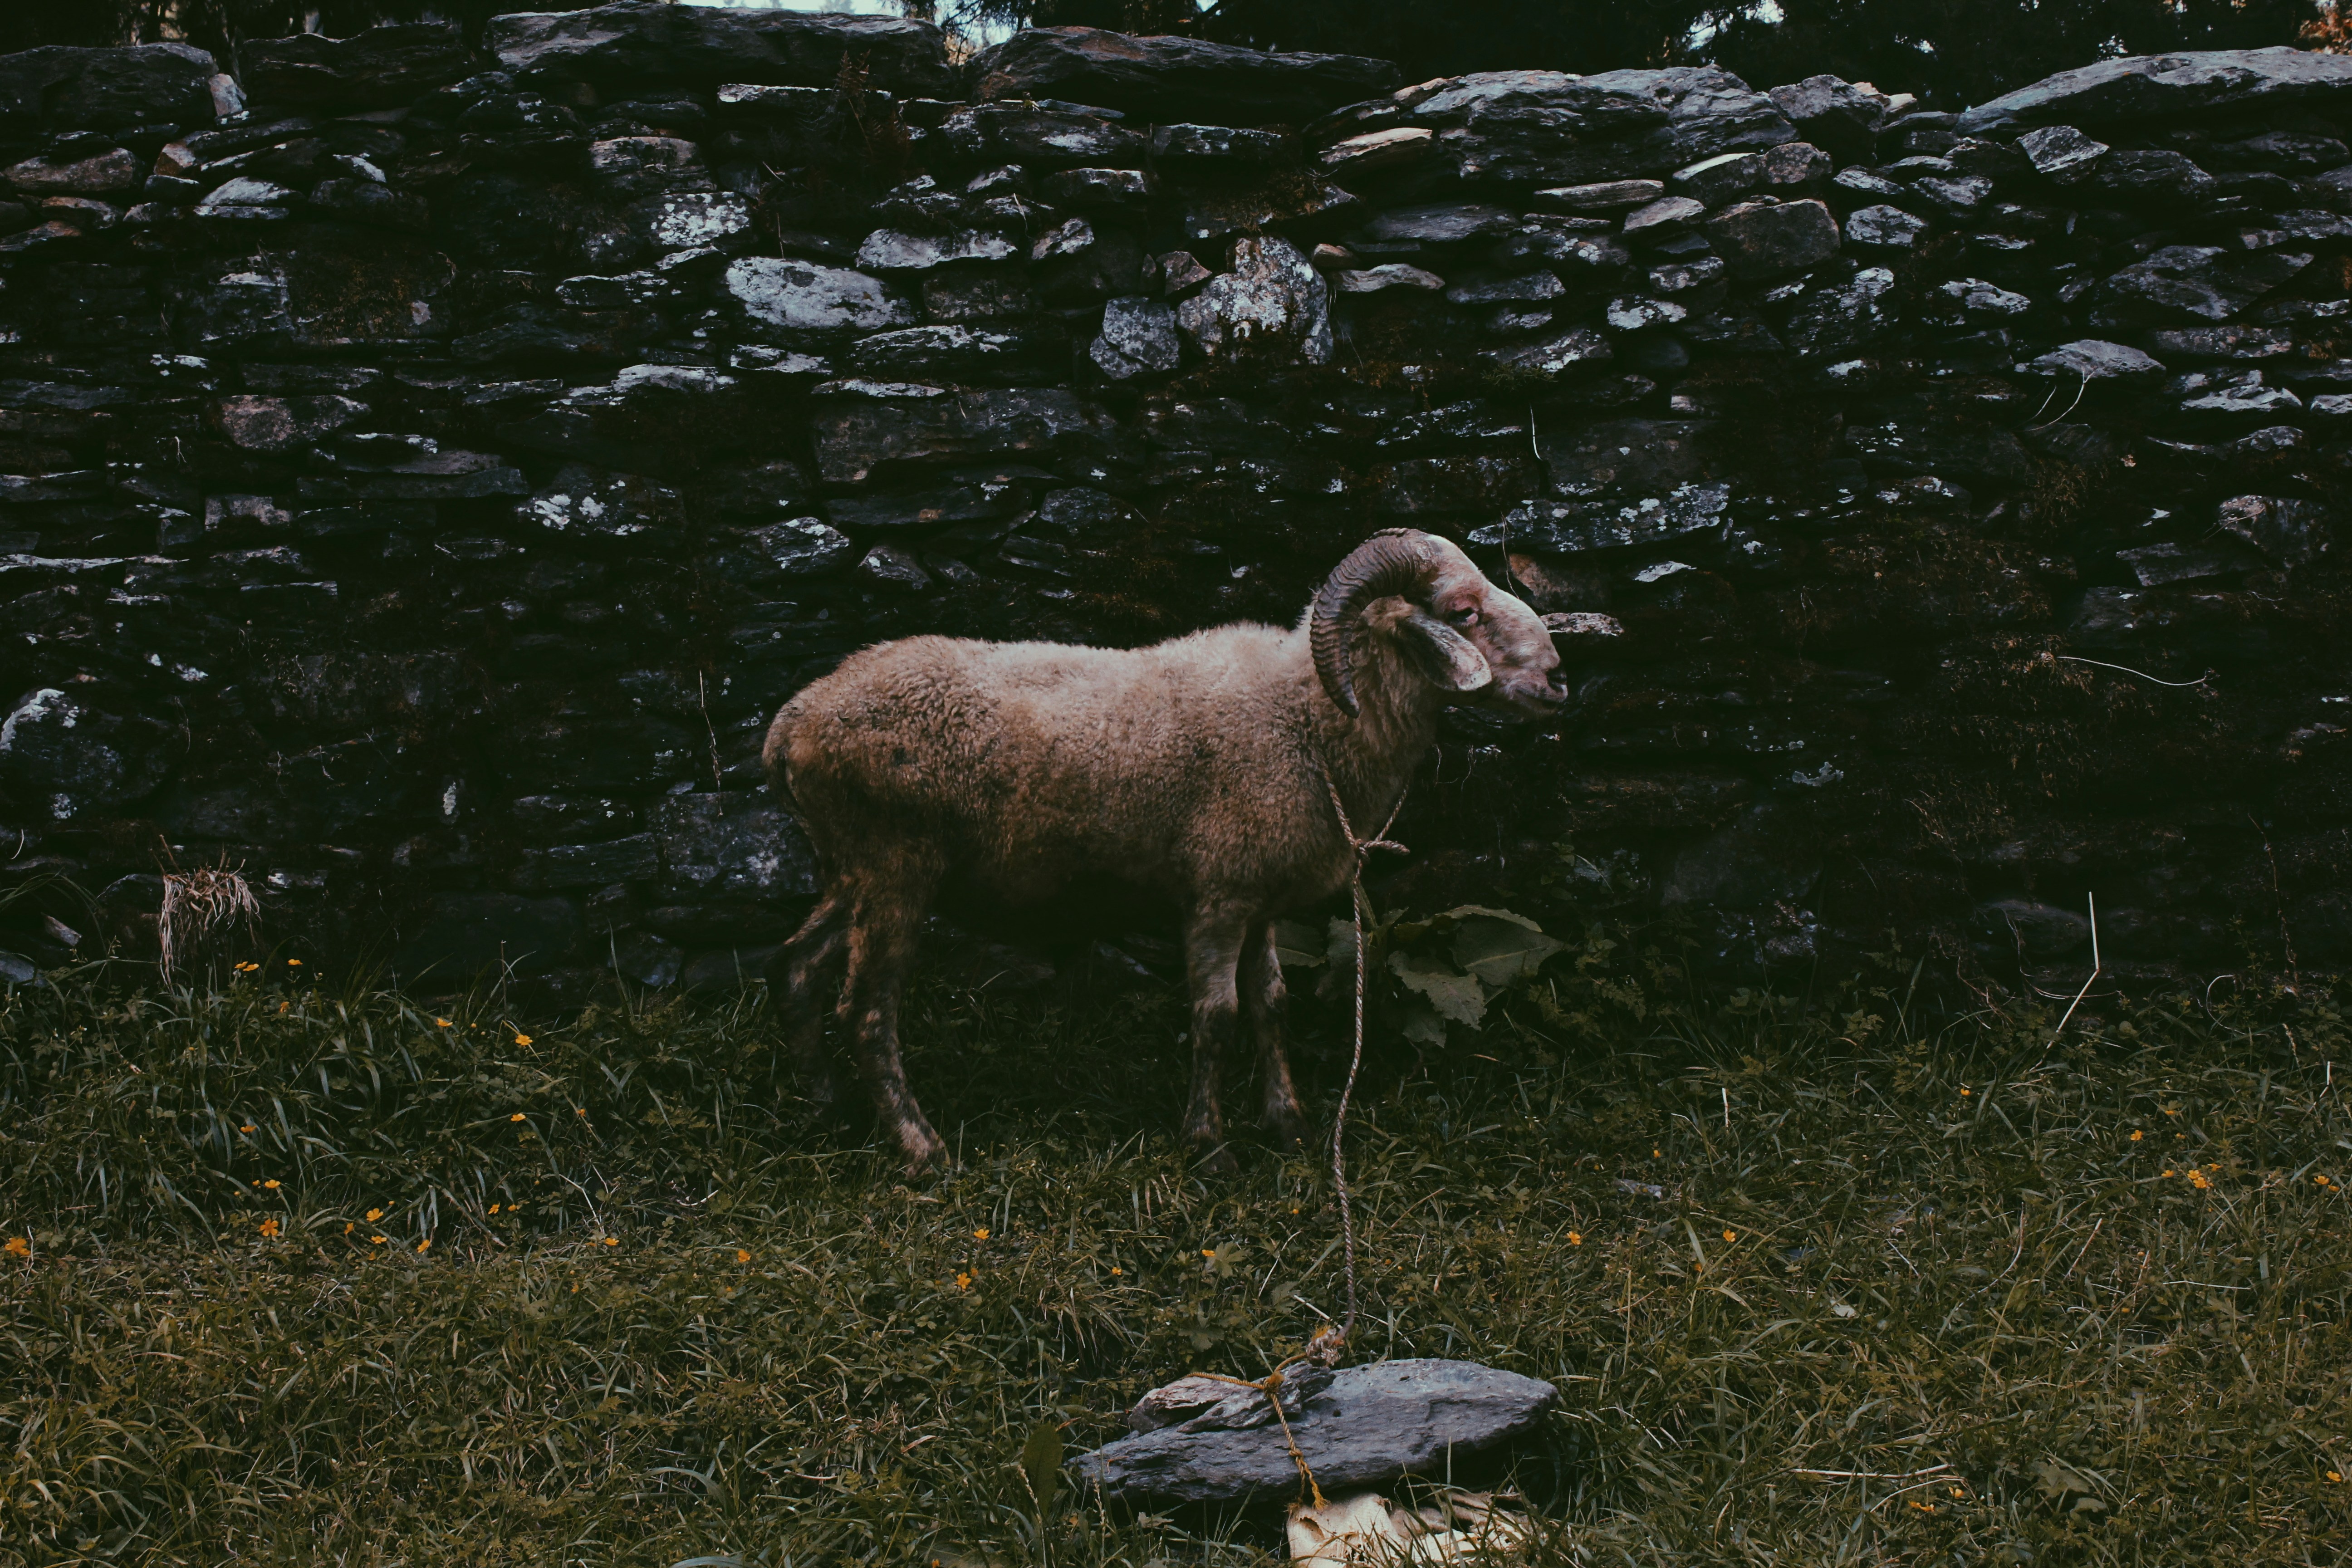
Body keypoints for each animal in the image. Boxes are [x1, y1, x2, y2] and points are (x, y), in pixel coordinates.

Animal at [761, 527, 1568, 1172]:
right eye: (1463, 613)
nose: (1559, 680)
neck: (1307, 714)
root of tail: (794, 721)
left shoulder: (1261, 898)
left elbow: (1272, 1006)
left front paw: (1291, 1126)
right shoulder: (1217, 895)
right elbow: (1216, 1017)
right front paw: (1208, 1144)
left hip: (853, 869)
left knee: (798, 964)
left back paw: (828, 1107)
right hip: (895, 867)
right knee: (866, 1012)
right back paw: (920, 1147)